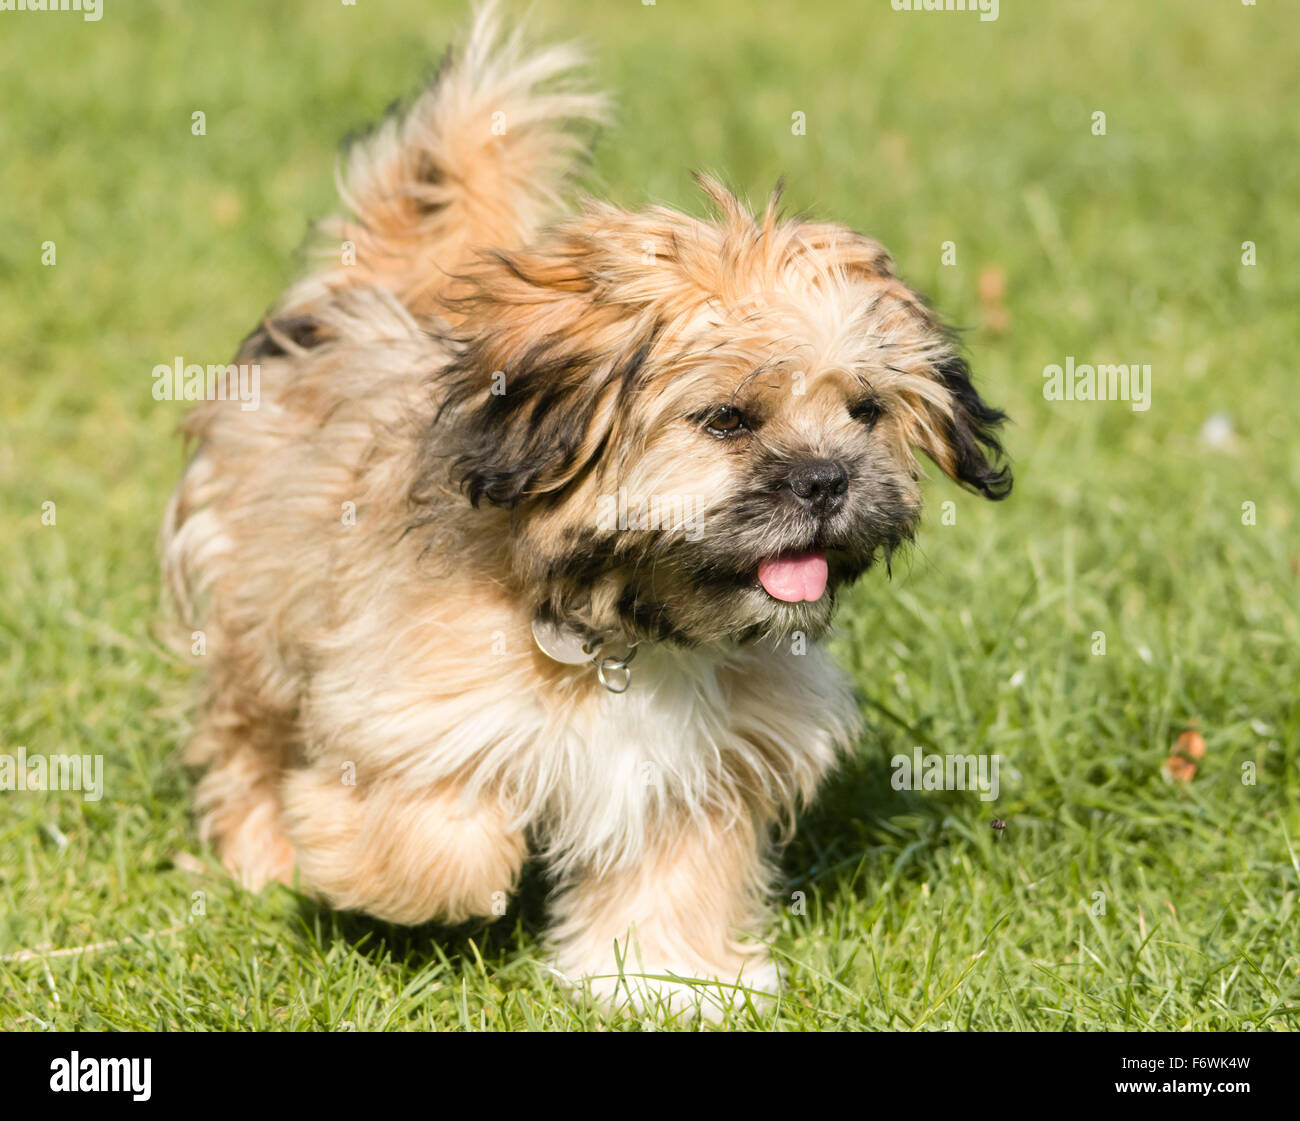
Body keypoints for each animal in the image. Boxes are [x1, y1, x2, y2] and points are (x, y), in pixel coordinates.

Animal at [162, 0, 1008, 1019]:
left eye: (865, 411)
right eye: (727, 418)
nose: (825, 480)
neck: (625, 621)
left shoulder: (701, 765)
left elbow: (675, 875)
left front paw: (671, 980)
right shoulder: (415, 703)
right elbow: (433, 834)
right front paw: (396, 876)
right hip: (255, 609)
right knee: (245, 738)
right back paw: (266, 854)